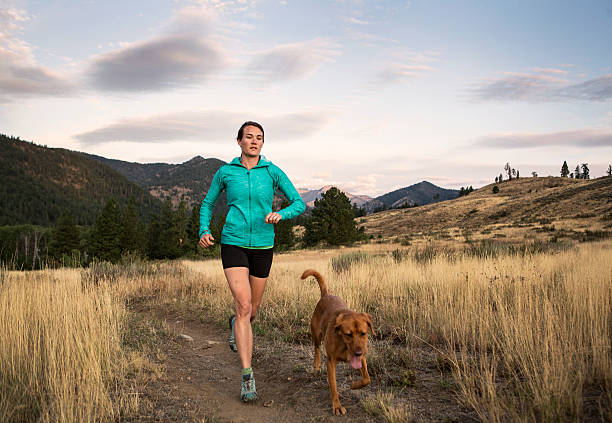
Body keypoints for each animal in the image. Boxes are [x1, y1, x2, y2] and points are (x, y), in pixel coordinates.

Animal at [300, 270, 372, 416]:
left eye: (363, 333)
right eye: (348, 334)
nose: (358, 352)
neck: (345, 346)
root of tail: (326, 295)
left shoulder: (361, 359)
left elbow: (367, 379)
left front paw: (354, 385)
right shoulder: (331, 362)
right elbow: (333, 386)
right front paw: (337, 406)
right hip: (316, 334)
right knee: (316, 347)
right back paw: (316, 364)